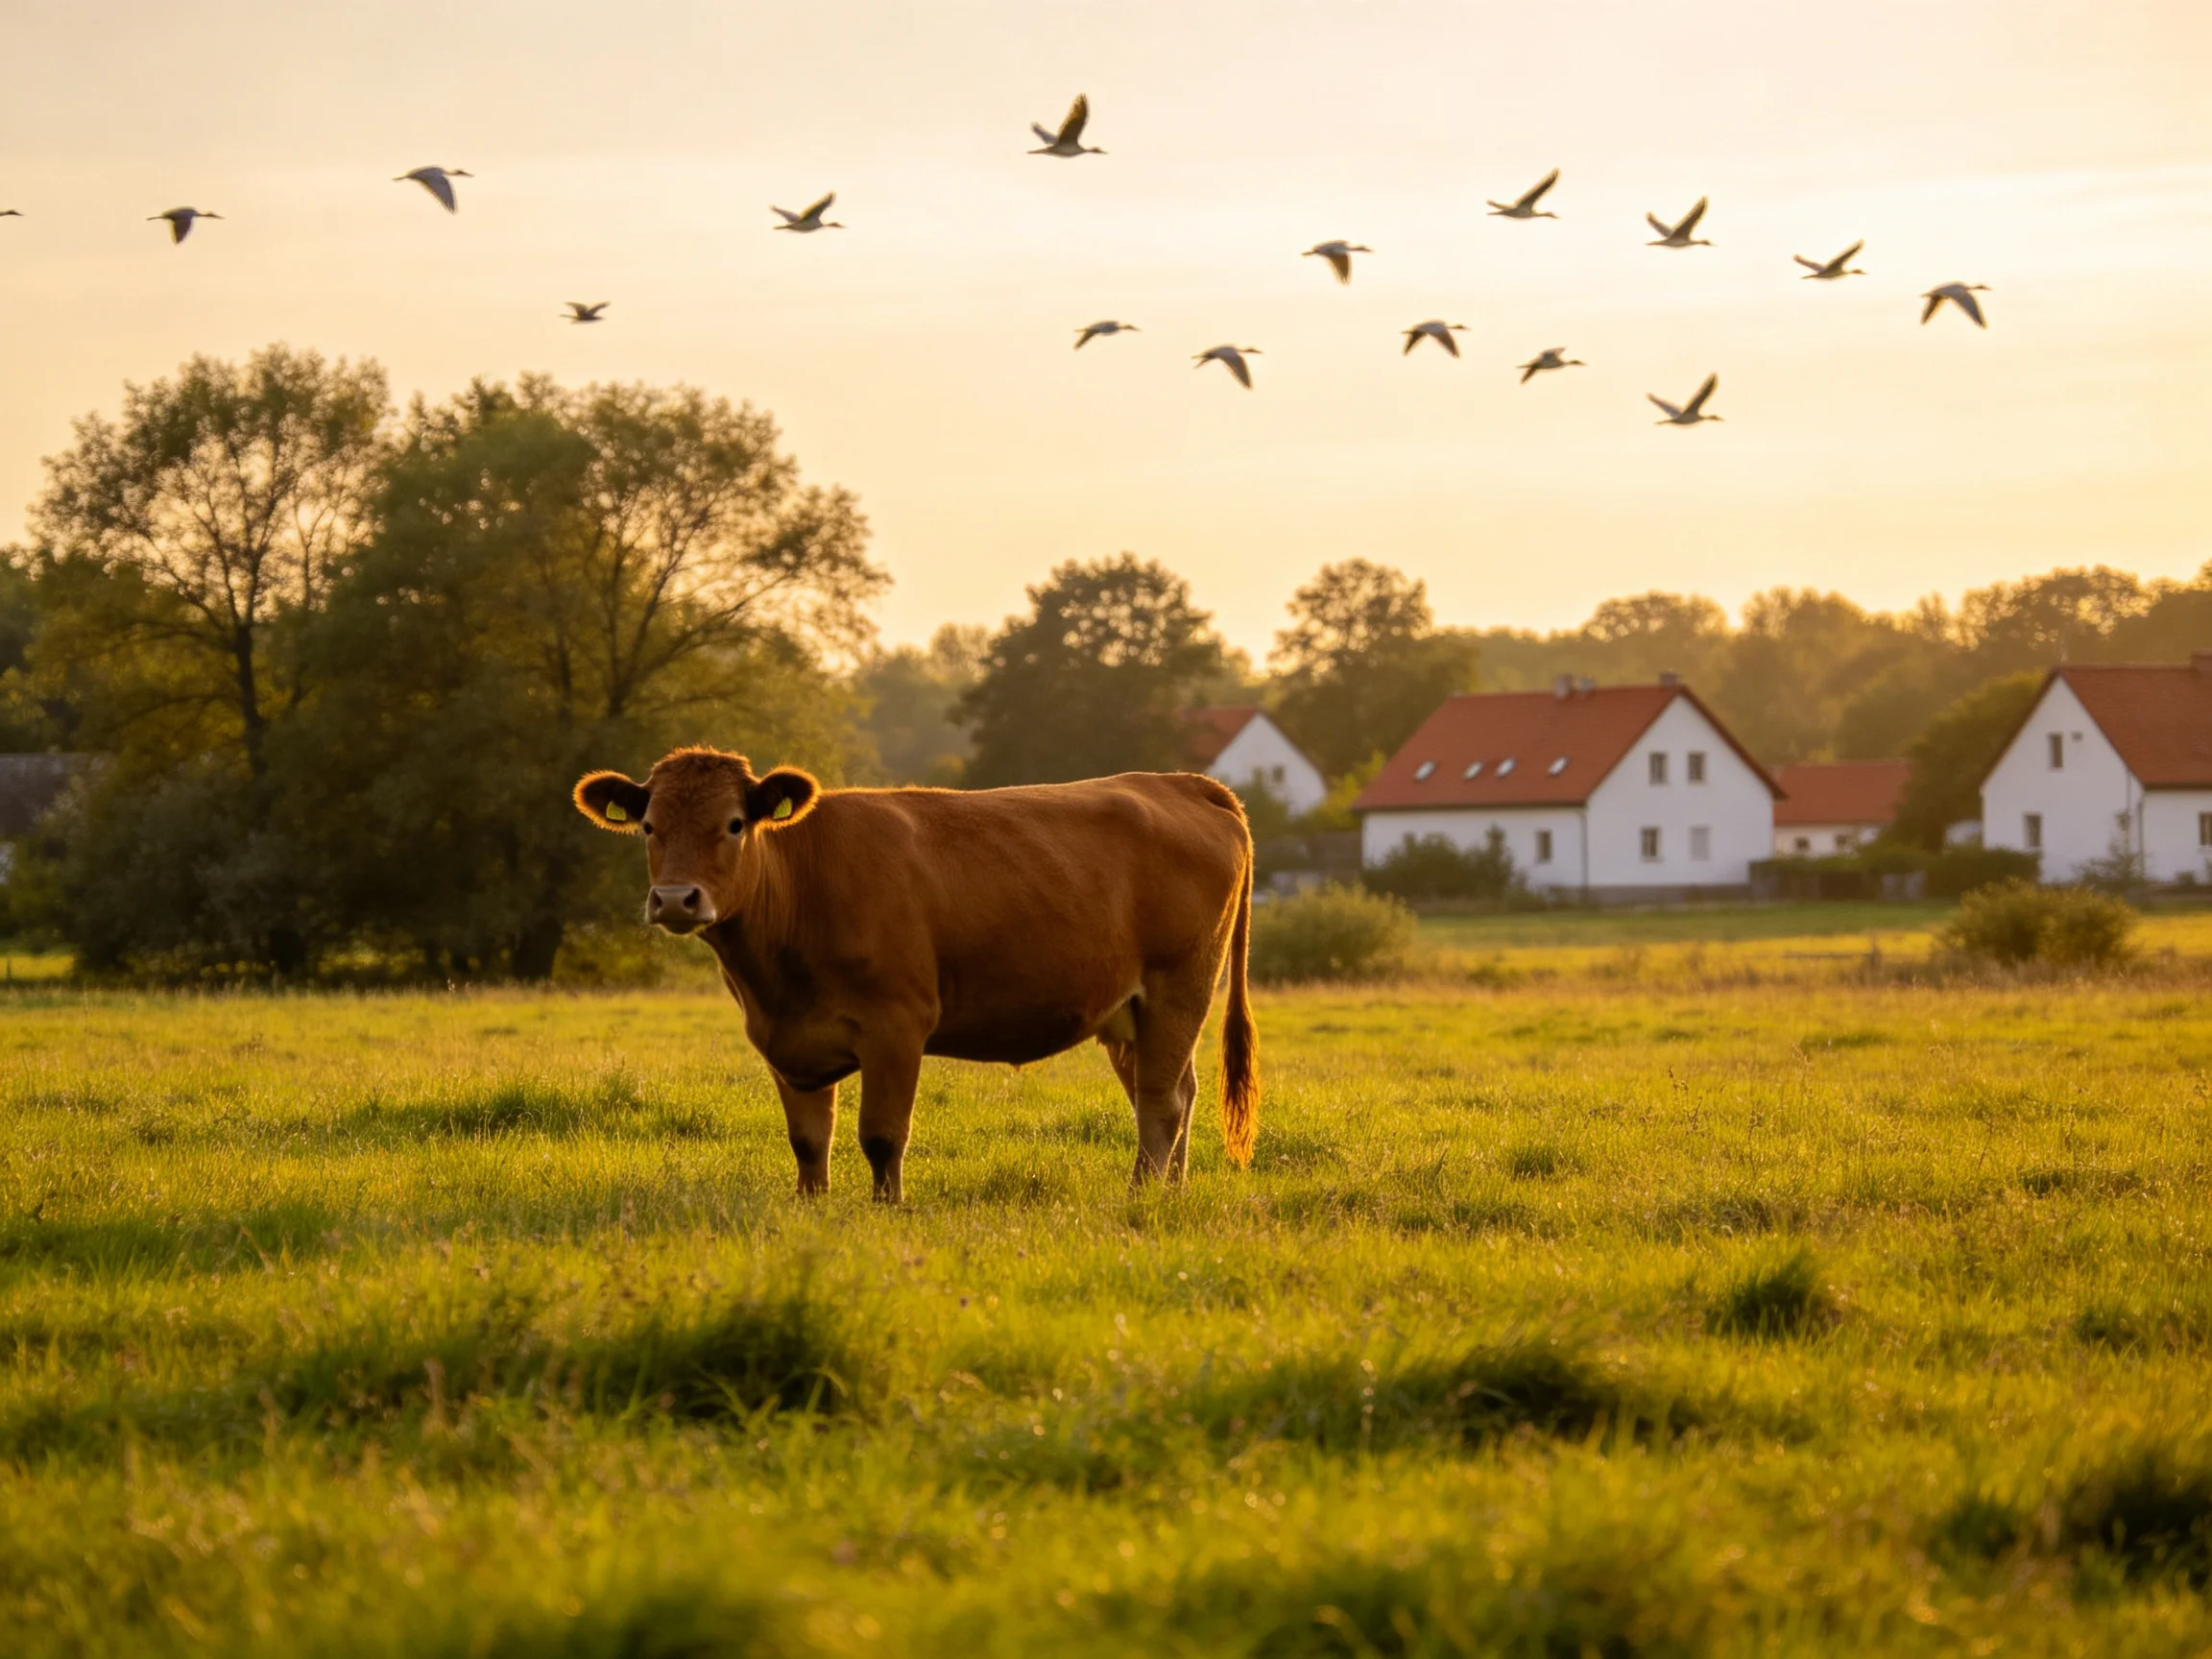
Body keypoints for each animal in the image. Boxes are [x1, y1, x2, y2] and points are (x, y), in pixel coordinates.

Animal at [572, 747, 1259, 1201]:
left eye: (735, 825)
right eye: (650, 826)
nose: (675, 899)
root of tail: (1178, 782)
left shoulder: (896, 1026)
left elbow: (881, 1136)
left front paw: (887, 1211)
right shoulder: (785, 1040)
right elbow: (808, 1141)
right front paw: (810, 1209)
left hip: (1179, 987)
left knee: (1161, 1101)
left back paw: (1140, 1198)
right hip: (1127, 1013)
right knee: (1176, 1091)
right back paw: (1171, 1193)